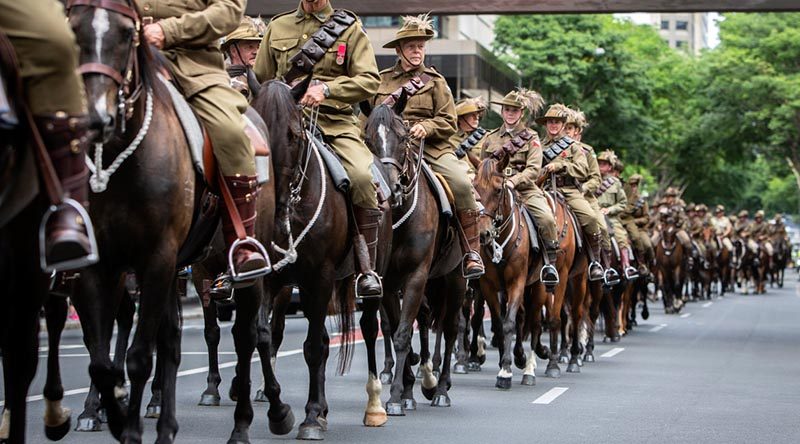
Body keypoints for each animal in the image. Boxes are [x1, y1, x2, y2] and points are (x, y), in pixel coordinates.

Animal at [360, 101, 466, 416]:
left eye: (404, 137)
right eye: (367, 139)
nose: (391, 188)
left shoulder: (416, 277)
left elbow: (404, 333)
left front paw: (396, 397)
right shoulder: (387, 283)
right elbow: (397, 330)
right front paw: (406, 390)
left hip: (455, 280)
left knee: (451, 328)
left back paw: (441, 389)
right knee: (429, 319)